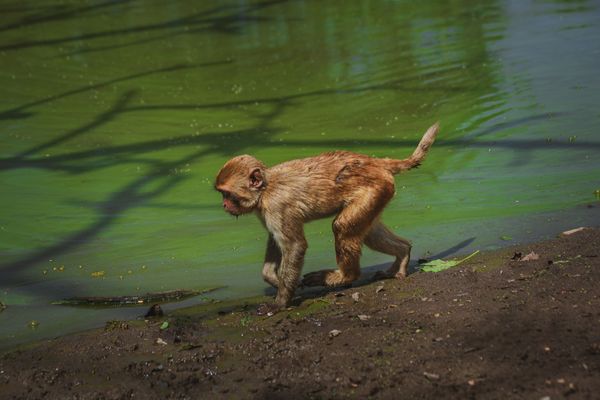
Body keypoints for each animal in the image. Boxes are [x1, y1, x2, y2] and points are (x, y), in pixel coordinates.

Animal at [213, 122, 438, 316]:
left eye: (227, 194)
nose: (224, 205)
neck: (265, 189)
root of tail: (374, 162)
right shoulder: (265, 211)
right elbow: (275, 240)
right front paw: (275, 280)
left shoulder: (276, 206)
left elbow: (295, 246)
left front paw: (281, 302)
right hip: (380, 193)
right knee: (369, 233)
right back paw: (402, 254)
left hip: (375, 188)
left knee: (342, 227)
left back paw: (343, 276)